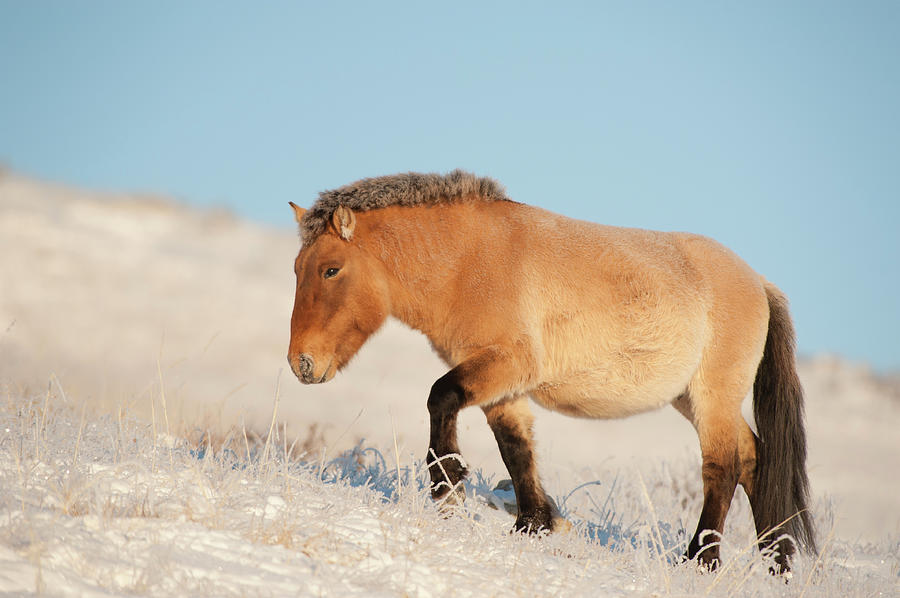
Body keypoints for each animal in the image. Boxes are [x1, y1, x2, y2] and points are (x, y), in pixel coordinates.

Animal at [286, 171, 816, 576]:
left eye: (331, 270)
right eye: (297, 269)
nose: (302, 364)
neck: (467, 262)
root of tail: (758, 282)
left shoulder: (507, 364)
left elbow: (442, 397)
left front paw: (448, 490)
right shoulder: (502, 384)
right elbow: (515, 448)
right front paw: (536, 523)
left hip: (712, 397)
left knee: (723, 466)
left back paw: (701, 560)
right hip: (691, 398)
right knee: (753, 457)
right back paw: (777, 564)